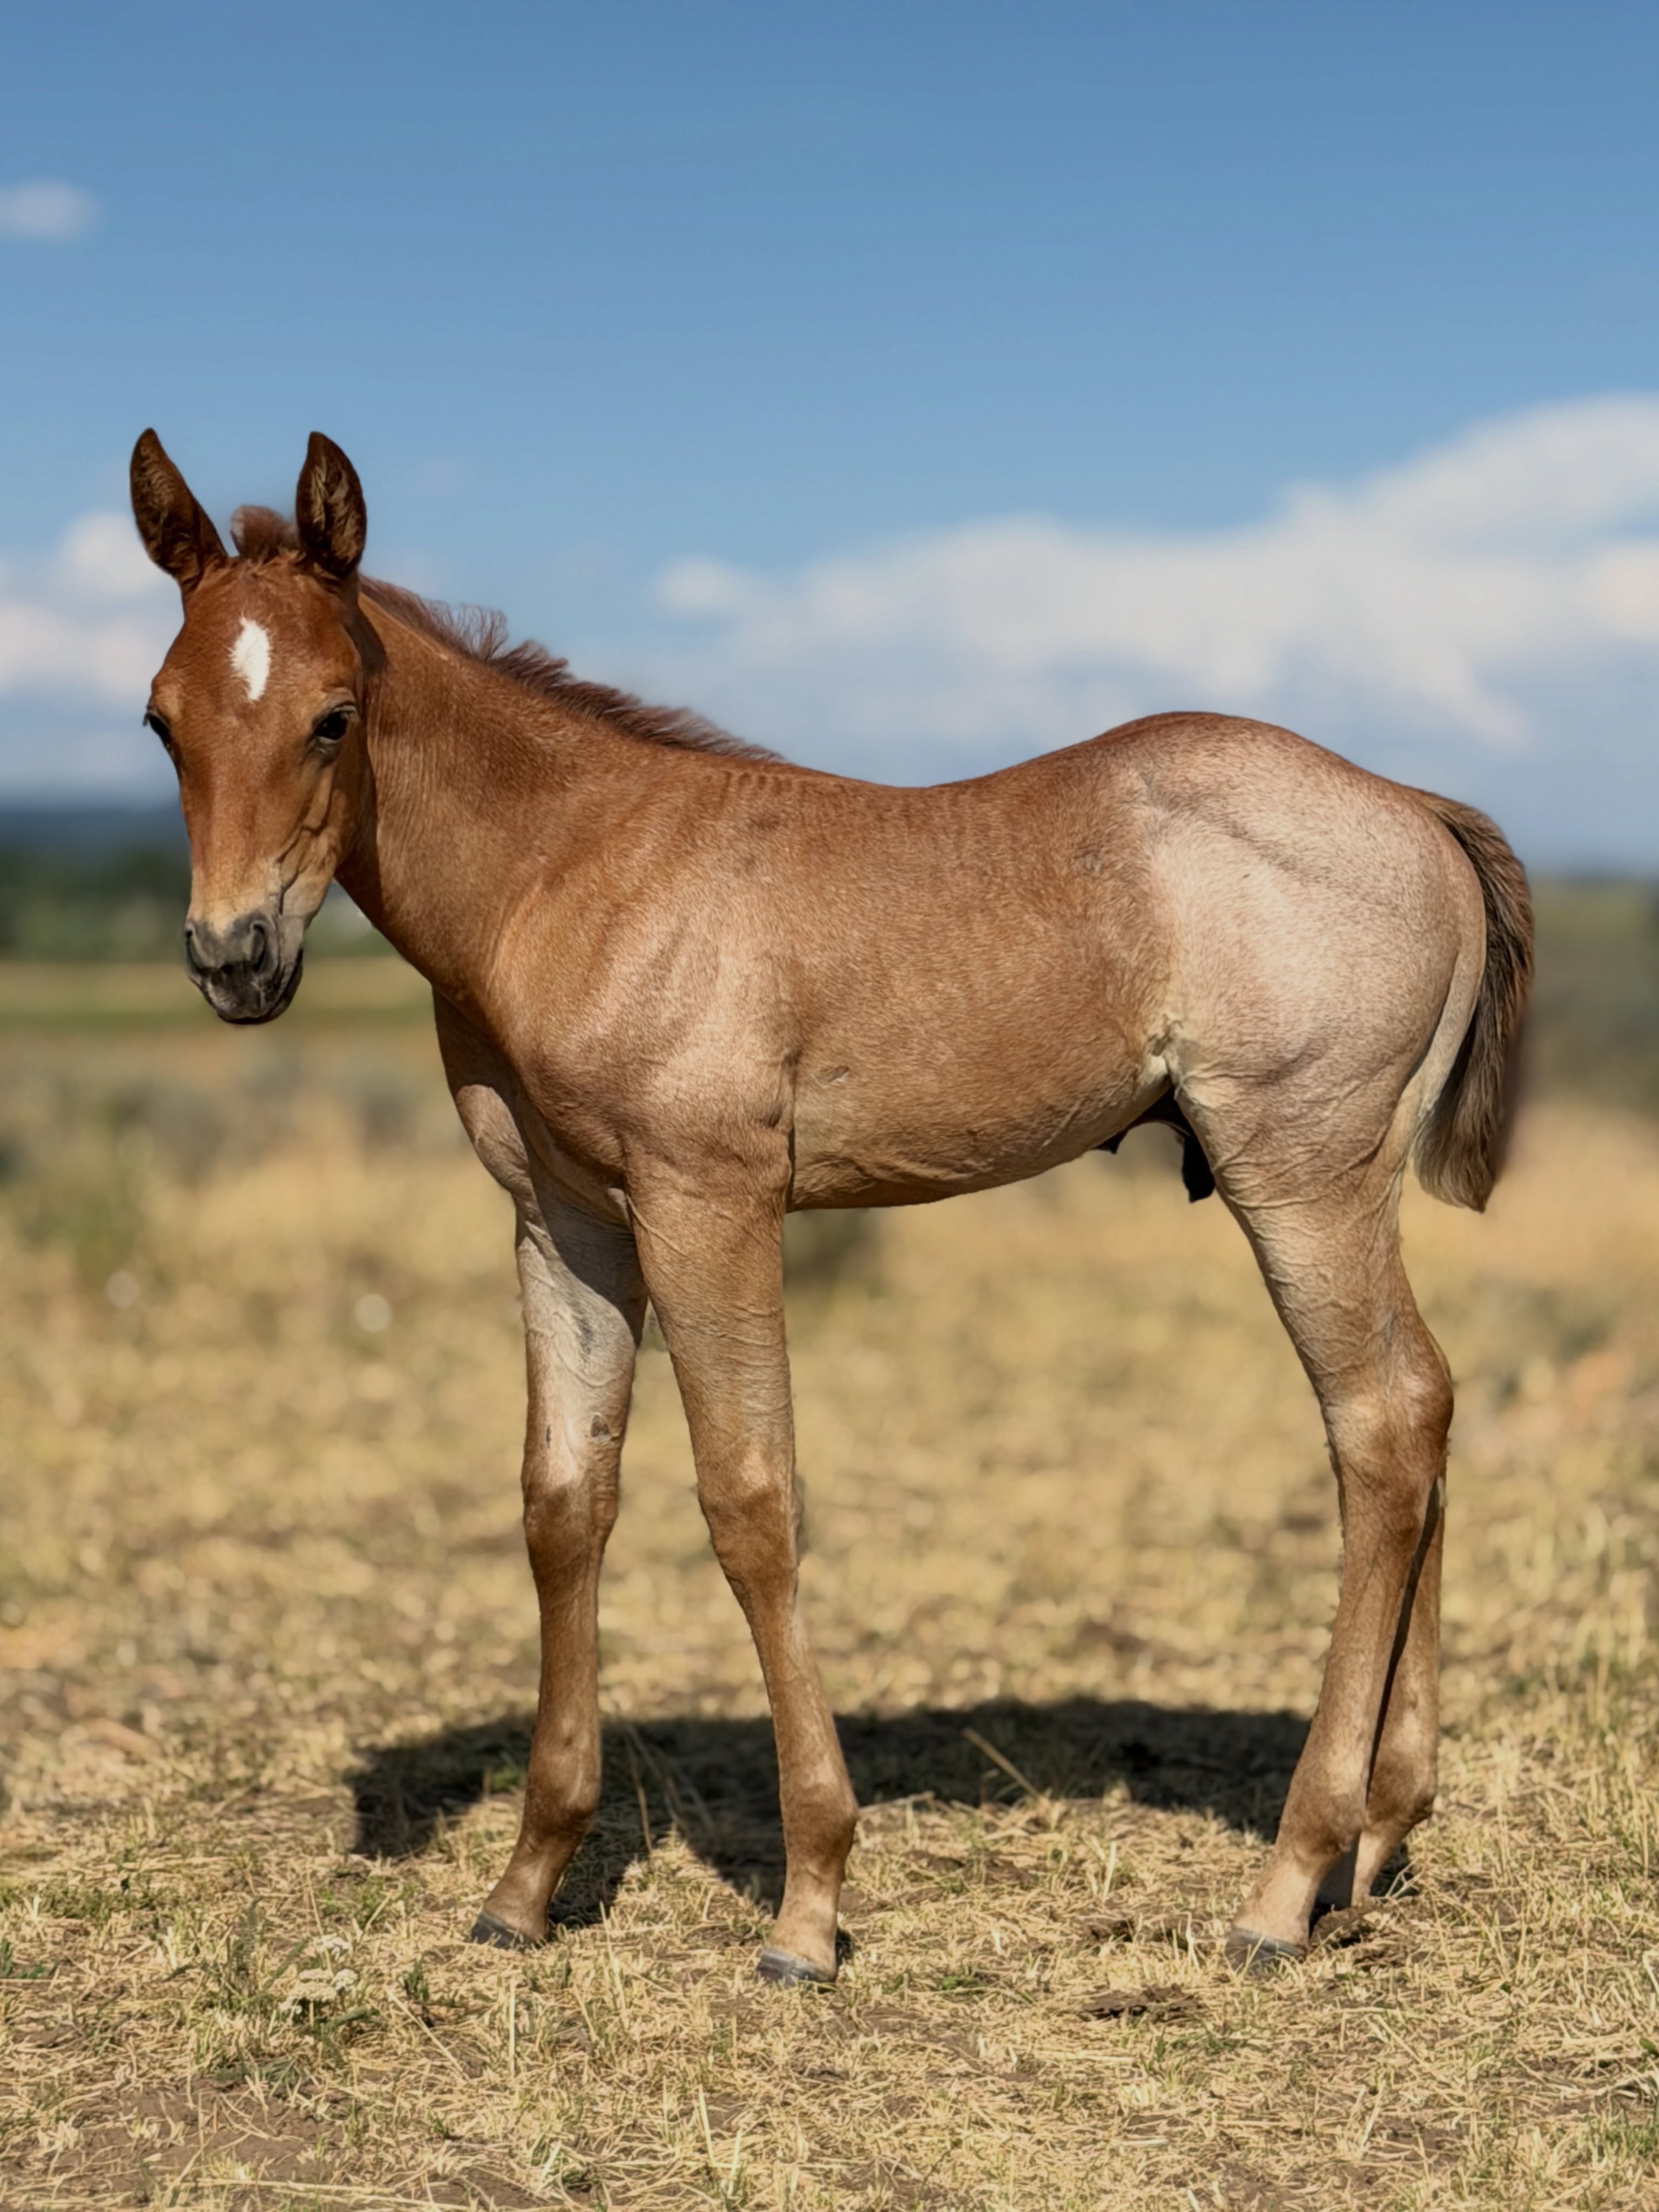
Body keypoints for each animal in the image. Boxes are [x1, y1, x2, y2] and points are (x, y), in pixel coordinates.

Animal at [130, 429, 1531, 1983]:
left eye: (331, 716)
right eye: (161, 722)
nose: (234, 959)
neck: (571, 870)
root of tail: (1419, 811)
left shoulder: (709, 1203)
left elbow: (751, 1500)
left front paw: (809, 1901)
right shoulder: (564, 1221)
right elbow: (564, 1502)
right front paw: (526, 1884)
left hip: (1300, 1172)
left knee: (1381, 1427)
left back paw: (1285, 1883)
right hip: (1342, 1188)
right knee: (1426, 1405)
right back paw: (1379, 1838)